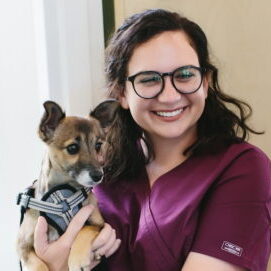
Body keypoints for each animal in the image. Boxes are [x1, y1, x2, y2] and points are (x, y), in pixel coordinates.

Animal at [16, 100, 119, 271]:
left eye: (98, 145)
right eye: (72, 148)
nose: (98, 175)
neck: (62, 196)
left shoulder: (98, 223)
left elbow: (84, 229)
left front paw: (78, 258)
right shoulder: (22, 245)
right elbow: (36, 263)